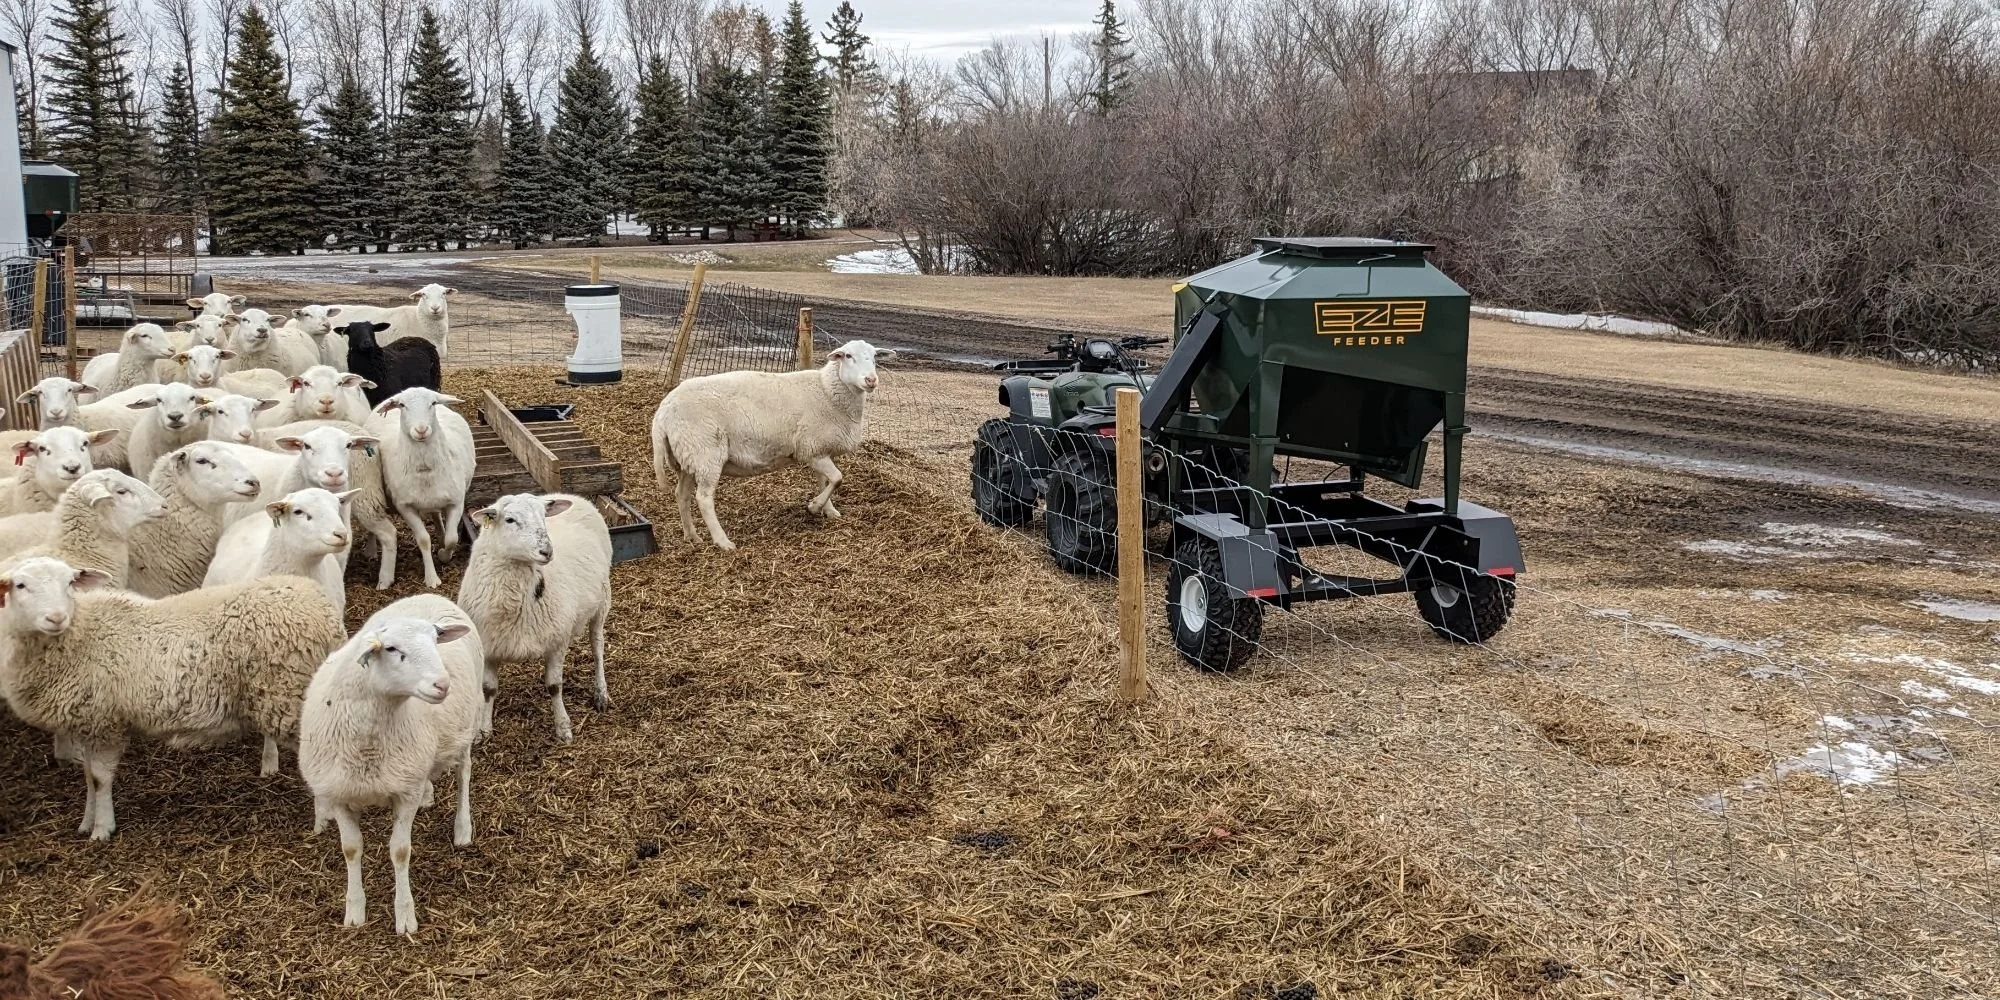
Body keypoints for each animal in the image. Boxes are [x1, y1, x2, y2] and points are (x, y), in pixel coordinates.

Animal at [0, 556, 345, 839]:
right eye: (20, 585)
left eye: (70, 583)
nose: (56, 618)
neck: (79, 632)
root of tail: (325, 611)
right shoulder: (89, 721)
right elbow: (87, 778)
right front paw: (86, 822)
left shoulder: (105, 723)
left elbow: (99, 778)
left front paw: (102, 830)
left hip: (287, 694)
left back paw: (322, 822)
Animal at [298, 594, 483, 935]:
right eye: (393, 649)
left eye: (436, 639)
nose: (442, 684)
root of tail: (429, 595)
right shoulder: (338, 794)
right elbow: (351, 849)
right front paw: (354, 911)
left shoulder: (404, 794)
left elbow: (400, 850)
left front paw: (405, 915)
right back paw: (429, 794)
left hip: (467, 724)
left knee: (464, 772)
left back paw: (463, 827)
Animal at [365, 388, 474, 588]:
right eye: (402, 405)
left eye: (433, 403)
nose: (421, 429)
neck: (425, 470)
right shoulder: (405, 507)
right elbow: (423, 540)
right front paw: (432, 578)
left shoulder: (456, 502)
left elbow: (452, 538)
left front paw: (444, 554)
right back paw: (370, 550)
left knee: (436, 515)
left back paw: (440, 533)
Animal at [456, 493, 611, 743]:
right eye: (509, 519)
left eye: (543, 516)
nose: (547, 551)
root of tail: (571, 496)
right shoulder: (489, 645)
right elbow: (488, 689)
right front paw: (483, 730)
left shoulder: (557, 641)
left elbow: (554, 686)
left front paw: (563, 728)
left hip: (602, 601)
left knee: (597, 649)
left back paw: (601, 693)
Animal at [650, 339, 897, 551]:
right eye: (848, 356)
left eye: (875, 356)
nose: (871, 380)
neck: (827, 391)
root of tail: (663, 412)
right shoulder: (811, 447)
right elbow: (837, 478)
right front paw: (814, 507)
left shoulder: (818, 449)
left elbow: (825, 481)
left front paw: (828, 510)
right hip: (705, 452)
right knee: (703, 498)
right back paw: (723, 542)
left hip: (689, 455)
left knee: (681, 494)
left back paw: (692, 535)